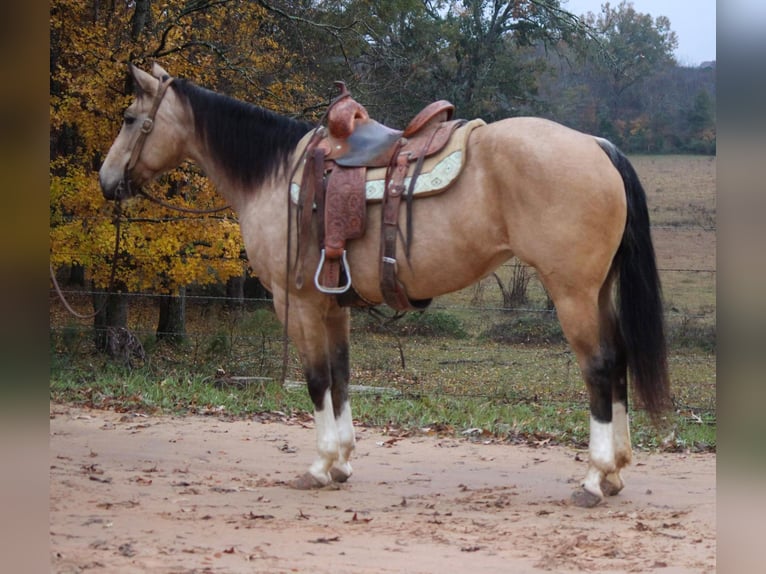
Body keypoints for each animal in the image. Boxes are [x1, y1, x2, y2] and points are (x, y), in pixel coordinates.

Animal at [99, 63, 668, 508]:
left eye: (129, 118)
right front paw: (342, 463)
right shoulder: (333, 305)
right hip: (596, 292)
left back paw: (594, 477)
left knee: (600, 368)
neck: (276, 176)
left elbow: (316, 380)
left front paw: (319, 465)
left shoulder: (295, 302)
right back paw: (615, 472)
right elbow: (341, 376)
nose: (106, 181)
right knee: (618, 361)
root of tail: (596, 145)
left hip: (572, 294)